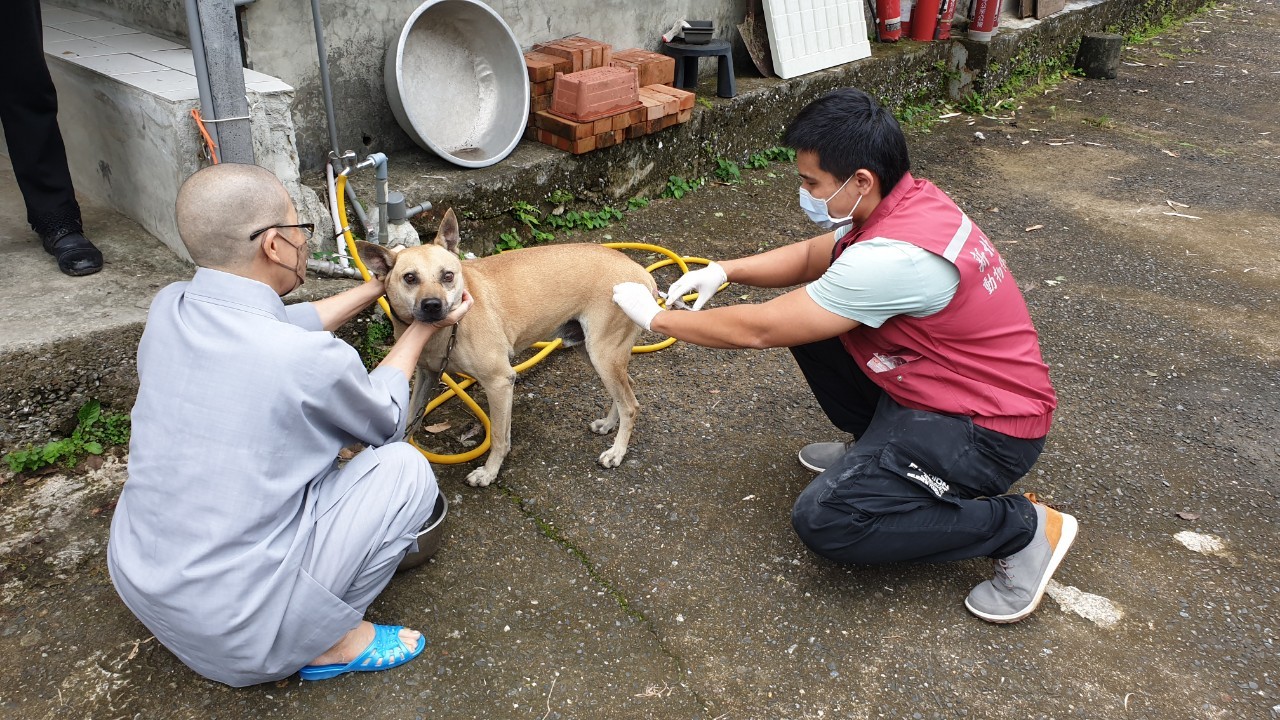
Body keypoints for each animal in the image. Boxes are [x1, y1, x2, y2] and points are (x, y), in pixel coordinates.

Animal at [358, 208, 655, 486]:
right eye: (409, 278)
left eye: (447, 276)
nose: (432, 305)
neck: (442, 331)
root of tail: (640, 272)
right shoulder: (426, 375)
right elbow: (411, 417)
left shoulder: (499, 382)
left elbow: (499, 437)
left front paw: (489, 472)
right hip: (592, 351)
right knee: (626, 388)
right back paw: (608, 425)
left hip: (602, 354)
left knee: (630, 404)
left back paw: (616, 452)